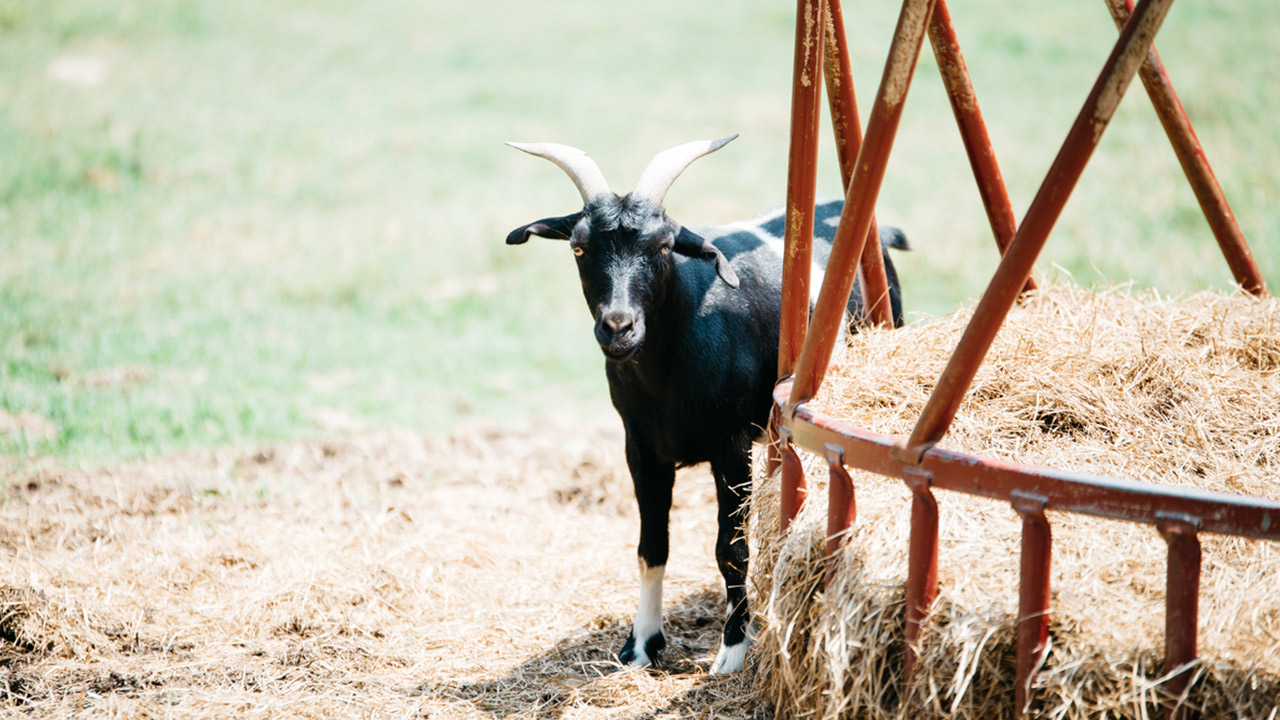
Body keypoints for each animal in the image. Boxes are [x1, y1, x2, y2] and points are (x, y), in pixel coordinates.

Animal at [504, 135, 906, 671]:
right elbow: (652, 546)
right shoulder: (641, 449)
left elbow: (730, 549)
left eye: (663, 246)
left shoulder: (730, 446)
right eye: (579, 246)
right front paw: (641, 645)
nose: (618, 326)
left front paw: (734, 648)